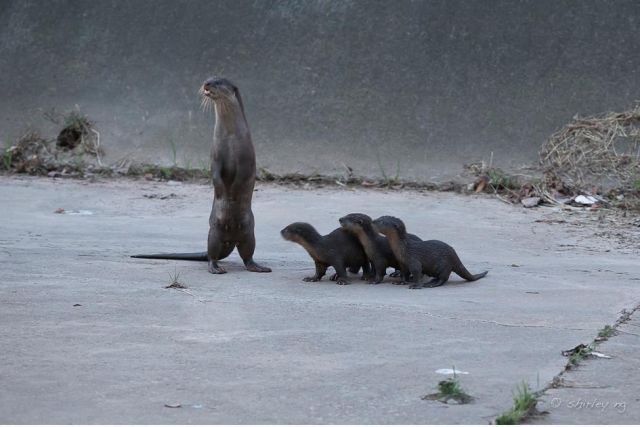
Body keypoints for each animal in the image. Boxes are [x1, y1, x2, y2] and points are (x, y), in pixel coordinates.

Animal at [132, 77, 270, 274]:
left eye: (218, 81)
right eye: (210, 78)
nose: (206, 83)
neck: (231, 137)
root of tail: (231, 239)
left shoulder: (247, 158)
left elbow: (243, 176)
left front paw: (234, 190)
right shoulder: (215, 155)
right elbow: (216, 175)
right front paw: (221, 189)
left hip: (249, 232)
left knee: (247, 255)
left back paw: (258, 267)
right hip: (214, 233)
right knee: (212, 254)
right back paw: (216, 268)